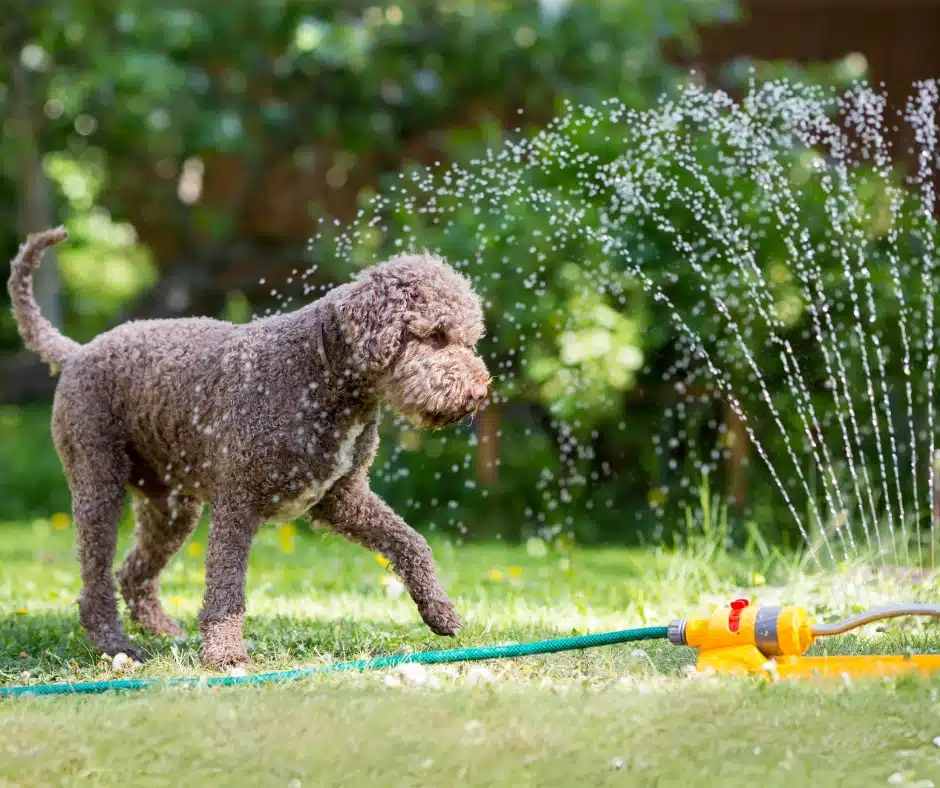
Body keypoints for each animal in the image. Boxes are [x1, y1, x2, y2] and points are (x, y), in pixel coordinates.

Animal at [7, 226, 488, 664]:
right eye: (436, 335)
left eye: (470, 339)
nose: (480, 392)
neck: (316, 374)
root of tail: (77, 352)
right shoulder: (237, 503)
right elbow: (226, 589)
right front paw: (224, 653)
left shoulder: (341, 498)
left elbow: (411, 542)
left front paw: (440, 611)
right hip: (98, 486)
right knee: (96, 582)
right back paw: (115, 645)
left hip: (172, 508)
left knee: (134, 573)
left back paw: (165, 631)